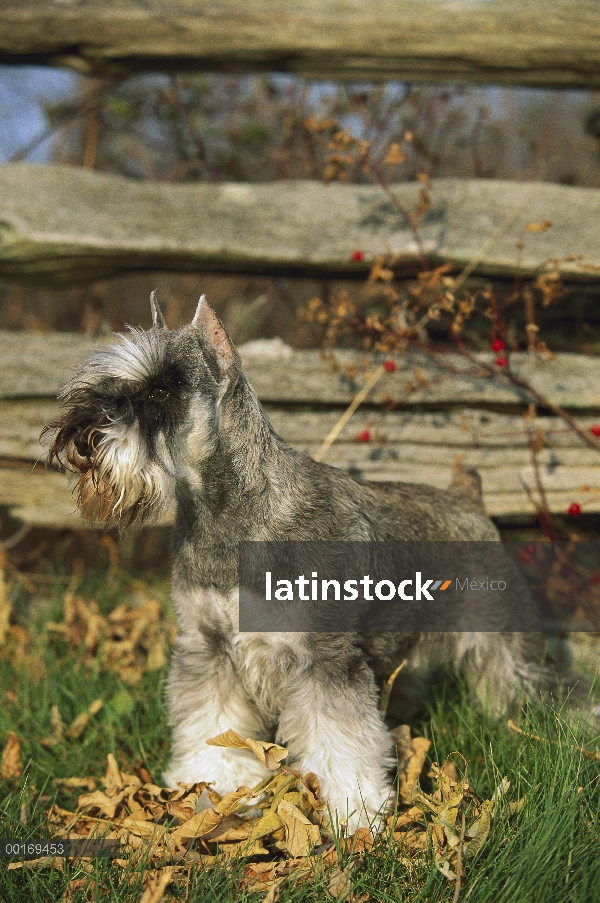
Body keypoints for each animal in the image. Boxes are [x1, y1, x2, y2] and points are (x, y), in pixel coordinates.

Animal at [44, 294, 548, 832]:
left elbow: (340, 740)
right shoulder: (209, 647)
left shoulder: (324, 659)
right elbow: (211, 721)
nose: (79, 436)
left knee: (523, 679)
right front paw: (213, 786)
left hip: (502, 634)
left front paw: (355, 813)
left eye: (162, 388)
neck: (228, 515)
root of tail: (469, 497)